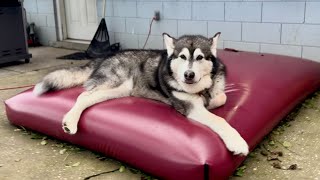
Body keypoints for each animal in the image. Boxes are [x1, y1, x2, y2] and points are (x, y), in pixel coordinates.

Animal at [32, 32, 249, 156]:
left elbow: (221, 96)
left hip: (118, 90)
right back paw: (70, 122)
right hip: (115, 82)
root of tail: (106, 56)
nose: (188, 75)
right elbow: (220, 120)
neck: (199, 88)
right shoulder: (190, 107)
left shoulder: (215, 92)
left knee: (87, 97)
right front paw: (237, 142)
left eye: (200, 57)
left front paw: (211, 99)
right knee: (82, 96)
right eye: (182, 57)